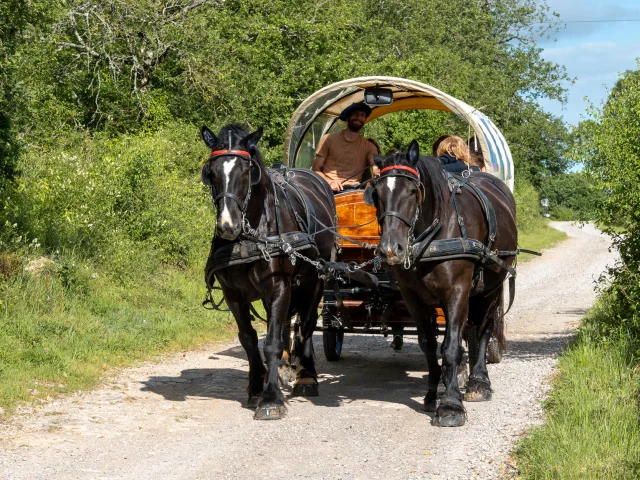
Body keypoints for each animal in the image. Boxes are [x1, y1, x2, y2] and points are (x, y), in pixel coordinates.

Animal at [201, 124, 338, 420]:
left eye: (246, 171)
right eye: (211, 172)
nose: (227, 225)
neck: (250, 235)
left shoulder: (279, 286)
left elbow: (272, 342)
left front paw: (272, 398)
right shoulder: (234, 294)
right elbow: (249, 340)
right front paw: (256, 388)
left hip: (316, 280)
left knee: (306, 324)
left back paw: (306, 377)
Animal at [368, 140, 516, 428]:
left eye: (413, 191)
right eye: (377, 193)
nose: (391, 249)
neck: (434, 234)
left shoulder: (457, 292)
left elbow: (450, 348)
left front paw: (450, 405)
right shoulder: (413, 298)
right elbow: (429, 344)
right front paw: (432, 395)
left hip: (491, 288)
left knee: (483, 329)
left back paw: (478, 382)